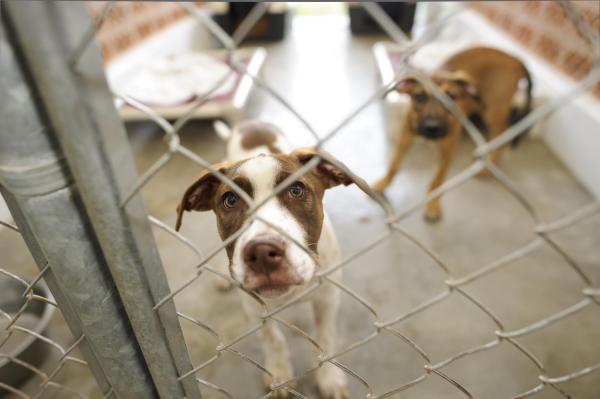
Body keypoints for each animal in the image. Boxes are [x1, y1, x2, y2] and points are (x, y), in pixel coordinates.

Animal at [176, 120, 350, 398]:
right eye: (230, 200)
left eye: (296, 190)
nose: (261, 253)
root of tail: (250, 123)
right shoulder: (255, 307)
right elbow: (273, 339)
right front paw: (279, 374)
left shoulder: (328, 299)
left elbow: (325, 337)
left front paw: (329, 377)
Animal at [372, 47, 532, 222]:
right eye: (419, 96)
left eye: (451, 97)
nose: (432, 127)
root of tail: (514, 57)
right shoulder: (404, 139)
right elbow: (394, 164)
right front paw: (383, 183)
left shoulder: (448, 149)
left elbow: (437, 180)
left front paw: (433, 205)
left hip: (493, 110)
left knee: (504, 134)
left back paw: (486, 166)